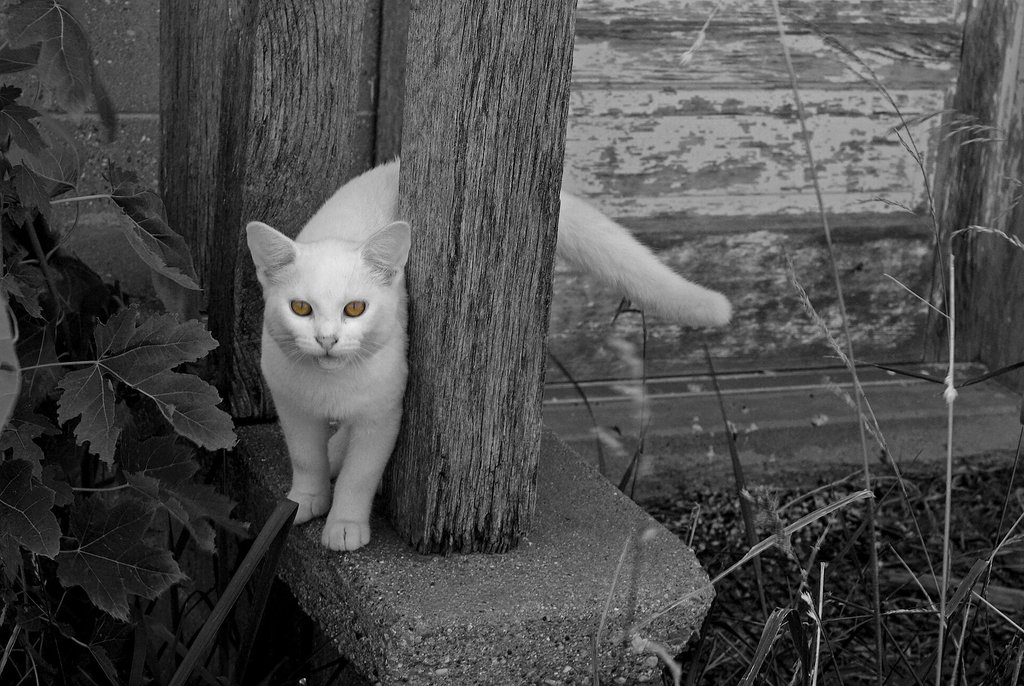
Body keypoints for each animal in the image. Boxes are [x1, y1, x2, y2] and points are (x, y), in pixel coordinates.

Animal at [244, 158, 733, 552]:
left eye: (354, 309)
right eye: (301, 309)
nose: (327, 340)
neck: (332, 386)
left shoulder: (384, 411)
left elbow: (360, 474)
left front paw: (345, 524)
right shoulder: (290, 402)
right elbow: (305, 457)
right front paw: (305, 500)